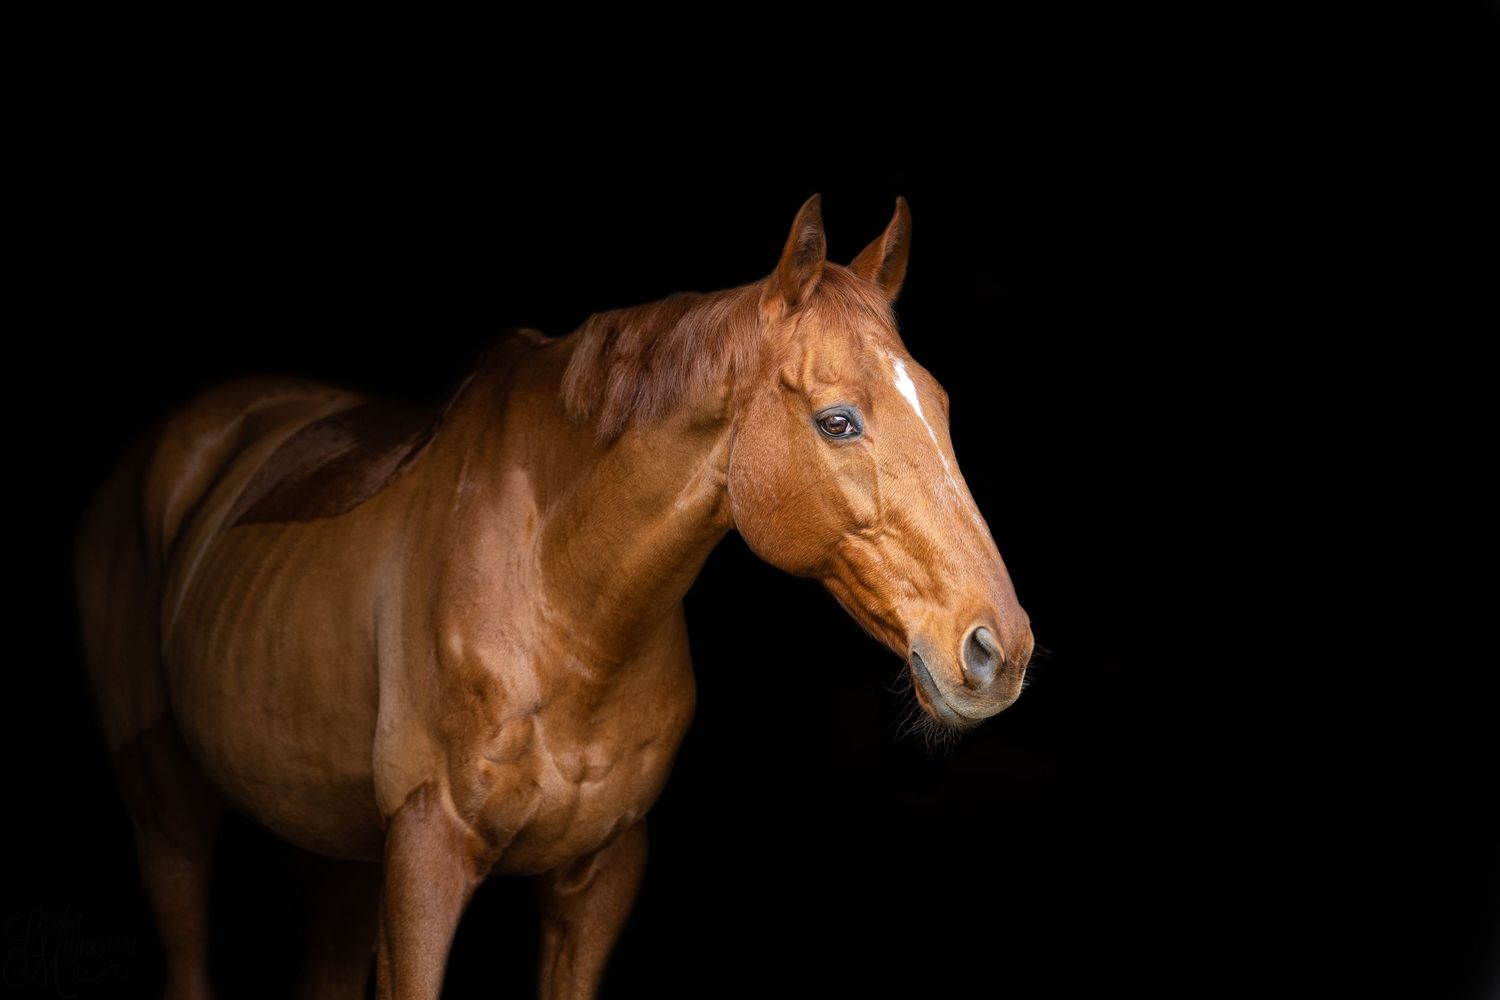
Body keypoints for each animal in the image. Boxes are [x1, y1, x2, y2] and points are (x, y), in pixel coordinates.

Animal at [73, 195, 1034, 1000]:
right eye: (838, 421)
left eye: (942, 406)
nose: (1000, 649)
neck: (562, 606)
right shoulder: (425, 858)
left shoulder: (599, 876)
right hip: (168, 812)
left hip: (332, 846)